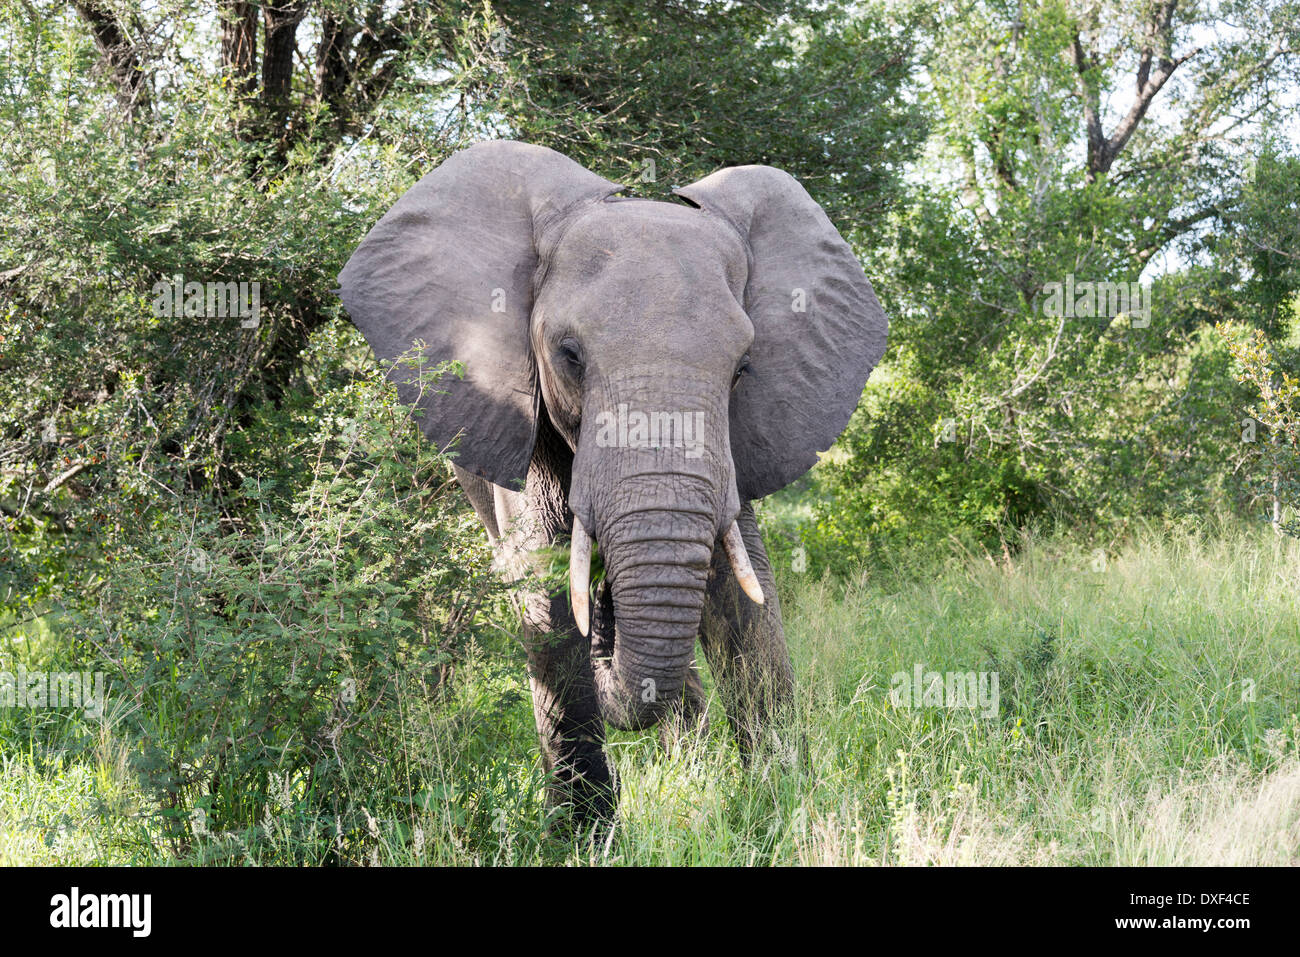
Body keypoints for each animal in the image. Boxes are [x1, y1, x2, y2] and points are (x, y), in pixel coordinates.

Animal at [335, 138, 889, 826]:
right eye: (569, 354)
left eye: (742, 368)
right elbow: (543, 592)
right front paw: (582, 833)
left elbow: (741, 593)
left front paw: (784, 809)